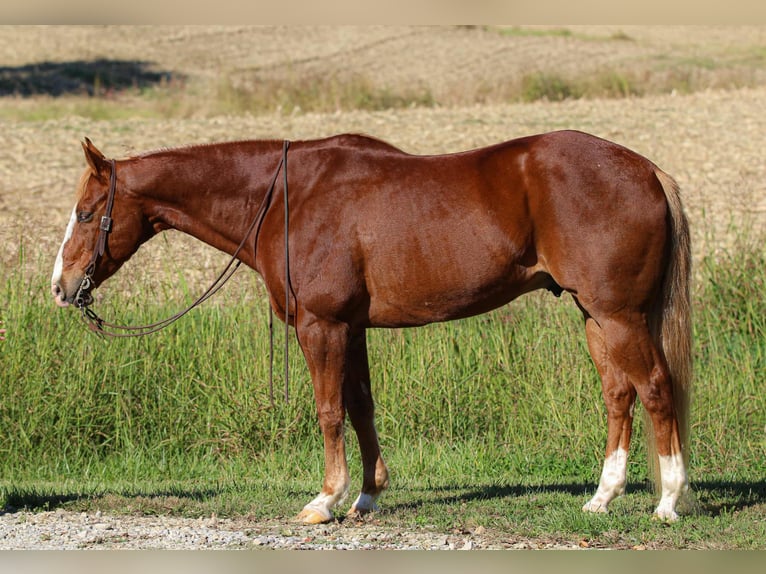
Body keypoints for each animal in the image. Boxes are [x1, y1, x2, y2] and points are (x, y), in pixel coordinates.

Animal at [51, 130, 692, 523]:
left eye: (87, 213)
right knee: (618, 394)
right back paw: (603, 497)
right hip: (595, 316)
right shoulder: (351, 327)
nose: (61, 287)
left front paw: (324, 500)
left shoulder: (322, 325)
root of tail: (646, 170)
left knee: (657, 389)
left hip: (620, 315)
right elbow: (361, 406)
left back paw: (668, 500)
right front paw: (366, 496)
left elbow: (329, 410)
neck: (285, 198)